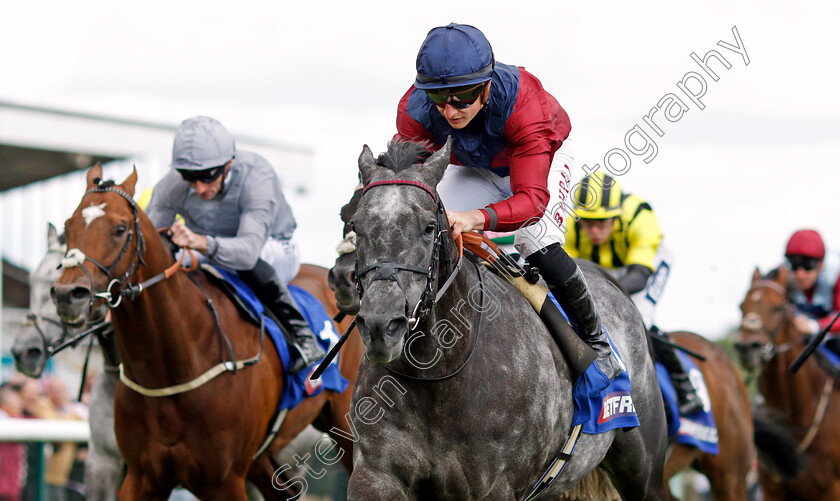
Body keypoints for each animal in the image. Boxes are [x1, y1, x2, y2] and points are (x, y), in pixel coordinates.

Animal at [50, 166, 360, 498]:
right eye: (68, 225)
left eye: (121, 228)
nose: (68, 294)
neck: (170, 370)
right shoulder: (140, 476)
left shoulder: (225, 480)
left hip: (343, 425)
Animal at [344, 140, 668, 500]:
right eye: (356, 225)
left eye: (429, 227)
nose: (381, 325)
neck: (438, 376)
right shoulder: (376, 475)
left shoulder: (495, 486)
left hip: (644, 471)